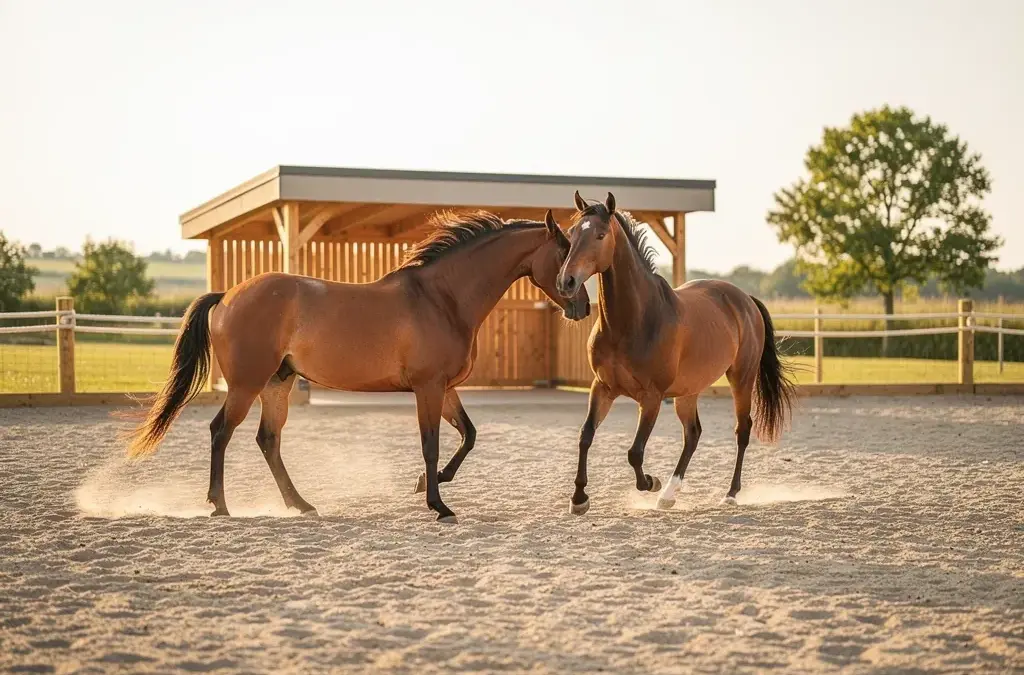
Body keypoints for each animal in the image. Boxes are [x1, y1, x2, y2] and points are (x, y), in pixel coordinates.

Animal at [124, 210, 589, 523]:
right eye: (564, 252)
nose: (582, 306)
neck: (442, 298)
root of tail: (226, 296)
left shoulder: (446, 388)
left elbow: (468, 436)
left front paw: (430, 483)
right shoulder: (428, 387)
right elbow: (431, 444)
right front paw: (438, 505)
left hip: (278, 383)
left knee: (267, 440)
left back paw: (301, 505)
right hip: (247, 384)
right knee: (222, 431)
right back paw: (220, 506)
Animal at [554, 191, 796, 515]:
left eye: (601, 235)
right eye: (572, 233)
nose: (566, 282)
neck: (633, 321)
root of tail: (744, 299)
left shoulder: (652, 397)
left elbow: (635, 452)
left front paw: (650, 482)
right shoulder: (602, 388)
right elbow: (585, 437)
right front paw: (579, 498)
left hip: (741, 378)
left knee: (742, 430)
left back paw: (729, 494)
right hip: (687, 392)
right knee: (693, 434)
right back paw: (670, 494)